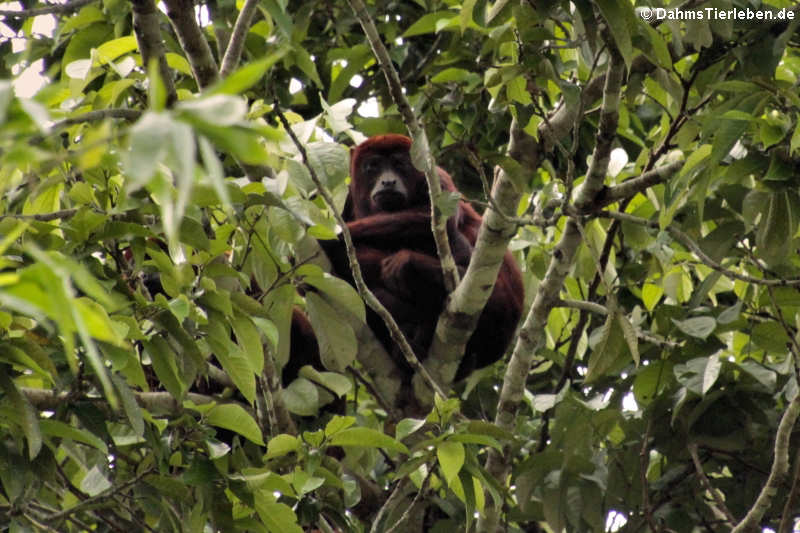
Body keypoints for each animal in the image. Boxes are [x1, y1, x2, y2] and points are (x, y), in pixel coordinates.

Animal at [318, 135, 524, 380]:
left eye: (400, 164)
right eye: (372, 166)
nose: (388, 182)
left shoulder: (438, 177)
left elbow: (434, 218)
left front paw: (336, 235)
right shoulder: (349, 196)